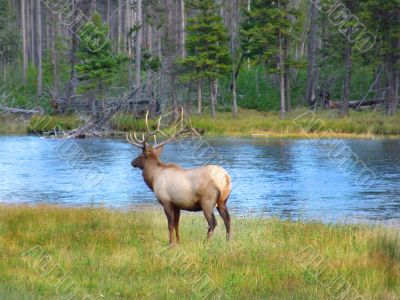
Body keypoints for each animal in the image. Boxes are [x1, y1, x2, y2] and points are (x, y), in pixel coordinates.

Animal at [126, 110, 230, 246]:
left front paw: (170, 244)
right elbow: (177, 225)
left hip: (207, 201)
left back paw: (205, 243)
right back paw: (228, 242)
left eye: (140, 156)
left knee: (213, 222)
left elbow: (170, 225)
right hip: (223, 201)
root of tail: (225, 178)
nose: (132, 162)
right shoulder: (177, 205)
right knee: (227, 219)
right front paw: (178, 243)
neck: (153, 178)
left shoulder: (166, 202)